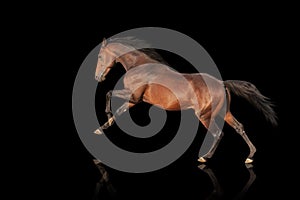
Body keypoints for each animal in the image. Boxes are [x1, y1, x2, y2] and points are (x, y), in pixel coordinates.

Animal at [93, 37, 276, 164]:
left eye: (100, 57)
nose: (97, 77)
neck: (139, 66)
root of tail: (221, 83)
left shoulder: (134, 97)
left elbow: (109, 93)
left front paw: (104, 118)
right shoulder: (134, 100)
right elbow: (118, 109)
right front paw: (101, 128)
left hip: (204, 115)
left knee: (218, 133)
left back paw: (204, 157)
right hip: (225, 113)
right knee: (239, 127)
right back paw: (250, 156)